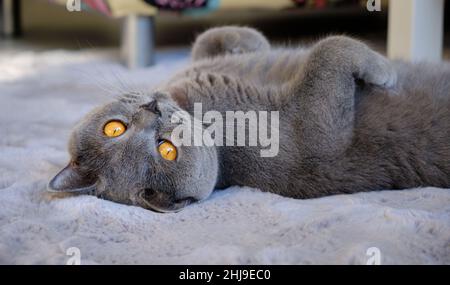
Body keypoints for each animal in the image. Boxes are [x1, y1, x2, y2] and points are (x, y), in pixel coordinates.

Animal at [48, 26, 450, 211]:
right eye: (167, 150)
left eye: (114, 128)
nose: (153, 111)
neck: (190, 100)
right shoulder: (312, 131)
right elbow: (327, 50)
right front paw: (386, 72)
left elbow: (210, 37)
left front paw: (253, 44)